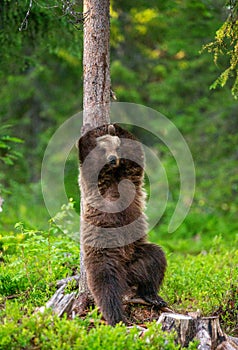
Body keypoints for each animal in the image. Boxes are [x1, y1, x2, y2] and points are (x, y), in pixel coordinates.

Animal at [78, 123, 167, 326]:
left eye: (115, 147)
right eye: (103, 149)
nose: (112, 159)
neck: (112, 173)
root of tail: (125, 273)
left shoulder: (129, 176)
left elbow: (135, 153)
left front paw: (112, 128)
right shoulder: (95, 184)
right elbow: (87, 158)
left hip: (138, 255)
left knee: (156, 259)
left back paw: (152, 295)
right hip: (104, 257)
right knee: (107, 287)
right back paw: (117, 317)